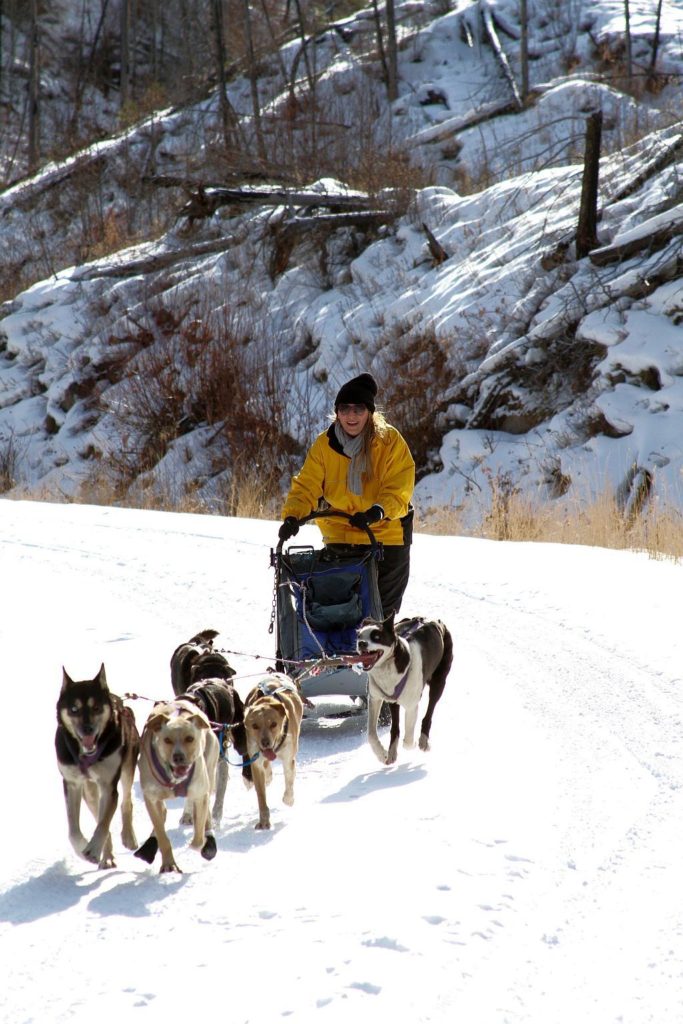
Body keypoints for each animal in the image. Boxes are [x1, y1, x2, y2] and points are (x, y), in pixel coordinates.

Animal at [55, 663, 140, 872]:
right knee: (99, 815)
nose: (88, 729)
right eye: (74, 709)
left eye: (96, 707)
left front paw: (93, 849)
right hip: (90, 792)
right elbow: (73, 830)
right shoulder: (72, 783)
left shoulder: (108, 786)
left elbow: (103, 824)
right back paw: (106, 856)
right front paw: (83, 849)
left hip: (127, 768)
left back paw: (127, 837)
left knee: (125, 802)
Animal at [133, 696, 219, 872]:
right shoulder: (151, 799)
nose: (178, 756)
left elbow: (198, 838)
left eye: (189, 738)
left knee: (205, 814)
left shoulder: (200, 793)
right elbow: (162, 835)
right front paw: (168, 864)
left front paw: (199, 844)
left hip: (209, 770)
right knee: (163, 814)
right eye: (167, 740)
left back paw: (209, 841)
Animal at [241, 671, 303, 831]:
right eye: (255, 726)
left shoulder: (288, 758)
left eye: (273, 724)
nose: (265, 742)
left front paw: (289, 799)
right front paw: (264, 821)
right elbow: (261, 796)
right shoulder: (256, 761)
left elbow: (289, 780)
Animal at [358, 610, 454, 765]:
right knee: (395, 727)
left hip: (439, 683)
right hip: (393, 702)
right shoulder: (376, 698)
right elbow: (371, 734)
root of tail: (434, 620)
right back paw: (392, 752)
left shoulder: (411, 706)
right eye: (359, 635)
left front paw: (411, 744)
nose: (361, 643)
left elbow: (408, 741)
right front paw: (382, 754)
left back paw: (423, 740)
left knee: (429, 713)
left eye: (377, 636)